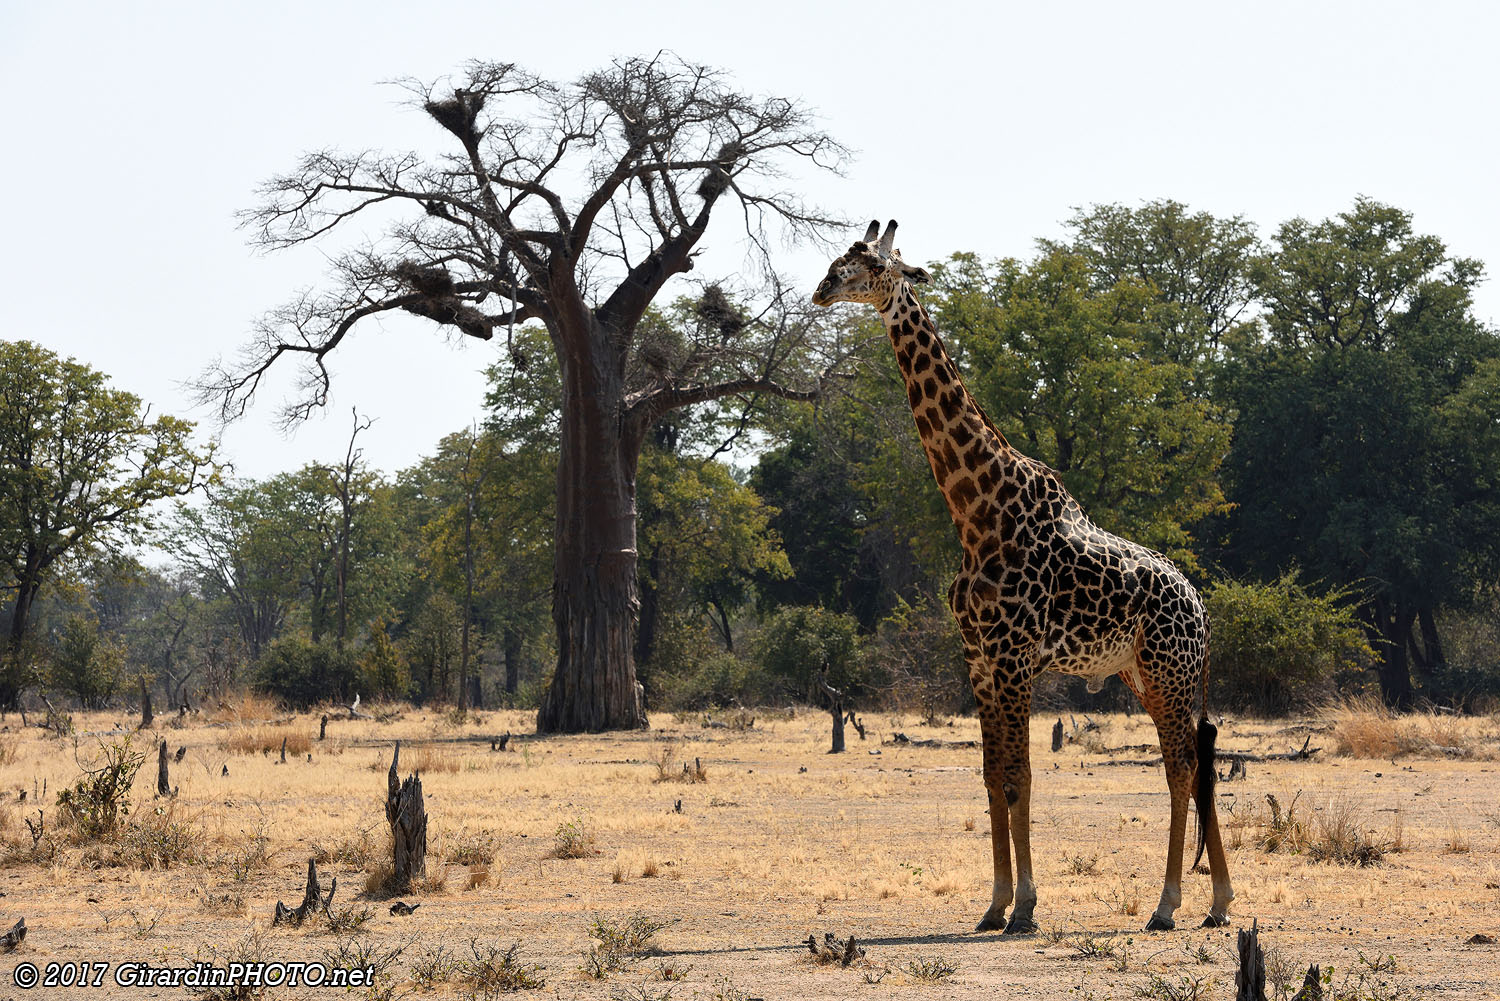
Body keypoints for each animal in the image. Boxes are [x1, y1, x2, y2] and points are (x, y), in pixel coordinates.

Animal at [812, 220, 1233, 933]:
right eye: (840, 256)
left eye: (868, 264)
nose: (819, 290)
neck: (974, 509)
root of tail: (1201, 607)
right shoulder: (978, 659)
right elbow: (990, 776)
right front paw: (994, 903)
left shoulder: (1013, 658)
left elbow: (1021, 775)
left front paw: (1027, 906)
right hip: (1141, 674)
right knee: (1197, 763)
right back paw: (1220, 902)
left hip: (1170, 672)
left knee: (1181, 767)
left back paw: (1168, 905)